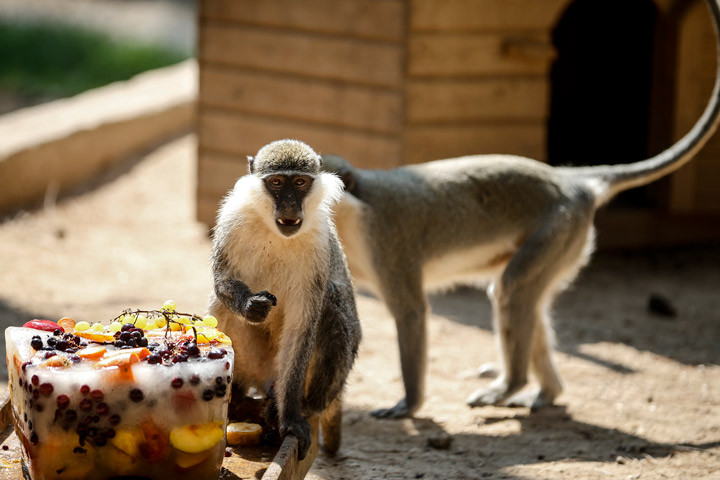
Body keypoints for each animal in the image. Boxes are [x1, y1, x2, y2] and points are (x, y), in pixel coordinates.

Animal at [211, 138, 362, 458]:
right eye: (277, 182)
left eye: (300, 182)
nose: (291, 204)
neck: (274, 231)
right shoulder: (230, 221)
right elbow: (222, 283)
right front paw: (249, 305)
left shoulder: (319, 243)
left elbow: (301, 327)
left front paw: (290, 417)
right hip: (256, 364)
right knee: (221, 308)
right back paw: (237, 392)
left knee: (330, 300)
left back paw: (302, 406)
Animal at [324, 0, 720, 420]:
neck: (353, 216)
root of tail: (571, 182)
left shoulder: (387, 244)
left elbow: (412, 312)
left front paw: (409, 404)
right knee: (521, 295)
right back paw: (546, 391)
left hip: (560, 227)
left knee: (512, 289)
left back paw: (512, 384)